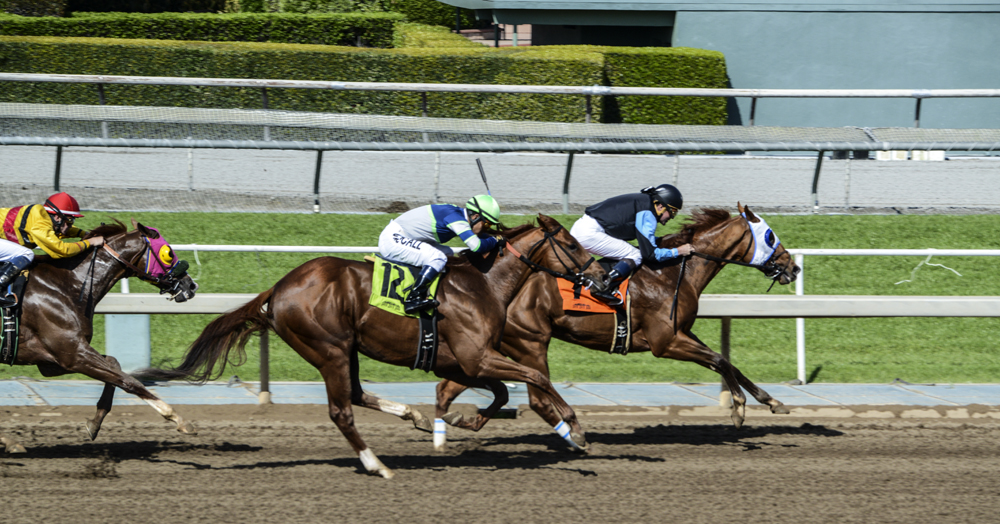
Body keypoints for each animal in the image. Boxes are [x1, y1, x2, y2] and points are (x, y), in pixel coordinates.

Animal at [0, 219, 199, 452]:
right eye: (168, 252)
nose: (190, 285)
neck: (67, 284)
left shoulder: (52, 361)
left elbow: (114, 365)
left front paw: (95, 422)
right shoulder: (73, 354)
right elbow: (130, 381)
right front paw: (178, 419)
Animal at [132, 214, 600, 478]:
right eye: (571, 245)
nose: (600, 277)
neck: (480, 283)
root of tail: (278, 289)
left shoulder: (464, 362)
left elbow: (501, 392)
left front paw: (460, 421)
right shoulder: (476, 357)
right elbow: (535, 376)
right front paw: (575, 429)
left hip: (346, 348)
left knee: (356, 394)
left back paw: (410, 415)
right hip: (329, 349)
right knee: (341, 410)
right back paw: (377, 465)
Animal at [434, 203, 800, 448]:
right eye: (770, 236)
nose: (793, 267)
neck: (671, 273)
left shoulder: (682, 331)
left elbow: (728, 363)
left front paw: (771, 401)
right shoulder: (666, 342)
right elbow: (721, 360)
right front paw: (738, 409)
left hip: (489, 348)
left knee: (452, 388)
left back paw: (454, 421)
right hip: (529, 342)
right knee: (536, 397)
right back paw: (571, 435)